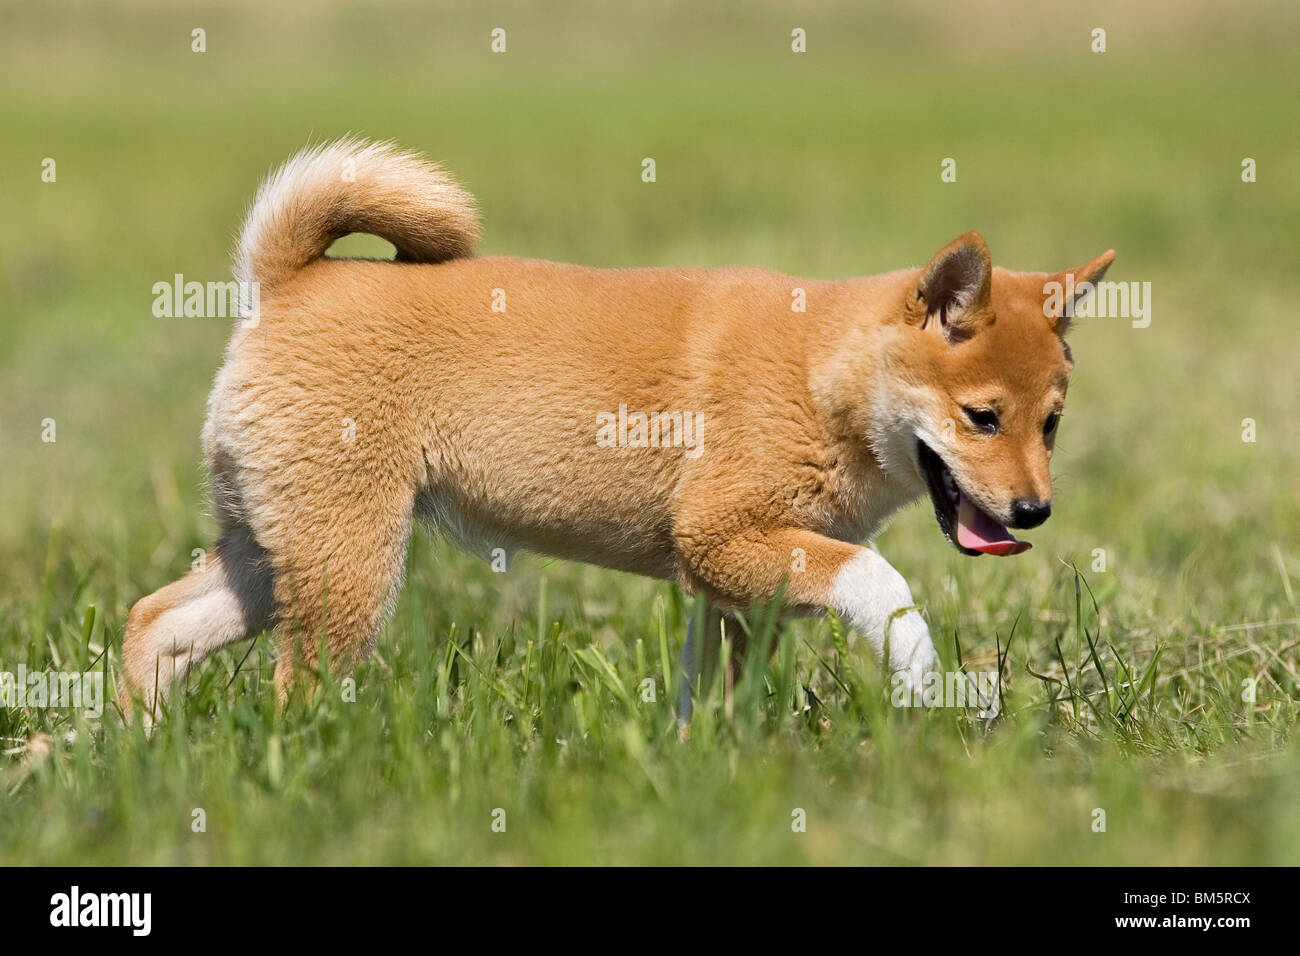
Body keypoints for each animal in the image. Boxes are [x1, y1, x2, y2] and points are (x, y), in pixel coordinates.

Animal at [122, 138, 1112, 723]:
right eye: (982, 417)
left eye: (1053, 425)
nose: (1033, 513)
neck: (817, 375)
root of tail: (286, 283)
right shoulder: (719, 536)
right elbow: (879, 581)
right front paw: (920, 679)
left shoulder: (734, 582)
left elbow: (714, 688)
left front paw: (708, 761)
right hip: (348, 559)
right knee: (294, 687)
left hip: (275, 542)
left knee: (156, 623)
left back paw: (134, 743)